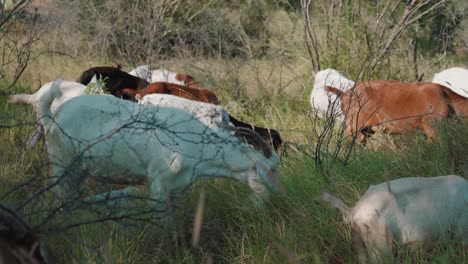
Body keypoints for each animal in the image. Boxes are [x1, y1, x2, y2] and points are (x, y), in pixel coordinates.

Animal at [35, 86, 282, 221]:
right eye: (272, 168)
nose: (280, 195)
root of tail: (53, 117)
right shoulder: (158, 185)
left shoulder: (177, 189)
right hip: (62, 165)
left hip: (80, 170)